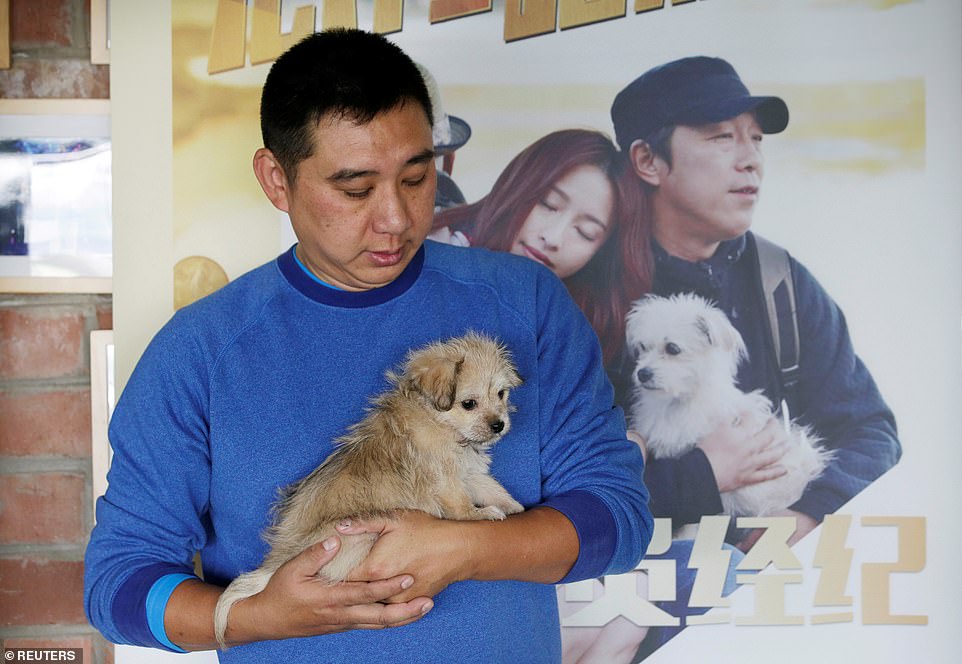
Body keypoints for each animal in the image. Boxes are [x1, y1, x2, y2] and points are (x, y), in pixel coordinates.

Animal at [212, 332, 524, 648]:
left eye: (501, 394)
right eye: (469, 403)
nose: (499, 425)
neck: (438, 419)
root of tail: (280, 558)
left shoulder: (468, 473)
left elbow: (491, 488)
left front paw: (514, 508)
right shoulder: (445, 478)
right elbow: (461, 506)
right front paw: (481, 514)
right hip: (358, 537)